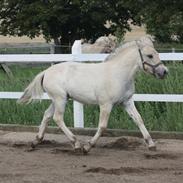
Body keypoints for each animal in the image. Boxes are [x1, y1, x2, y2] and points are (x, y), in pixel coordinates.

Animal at [17, 36, 168, 154]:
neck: (118, 74)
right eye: (150, 55)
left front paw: (151, 144)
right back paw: (76, 144)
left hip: (58, 100)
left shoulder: (127, 102)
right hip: (60, 99)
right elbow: (102, 126)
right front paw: (88, 147)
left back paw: (35, 142)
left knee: (47, 115)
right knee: (57, 118)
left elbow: (139, 119)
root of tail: (46, 72)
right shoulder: (106, 104)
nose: (164, 72)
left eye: (157, 53)